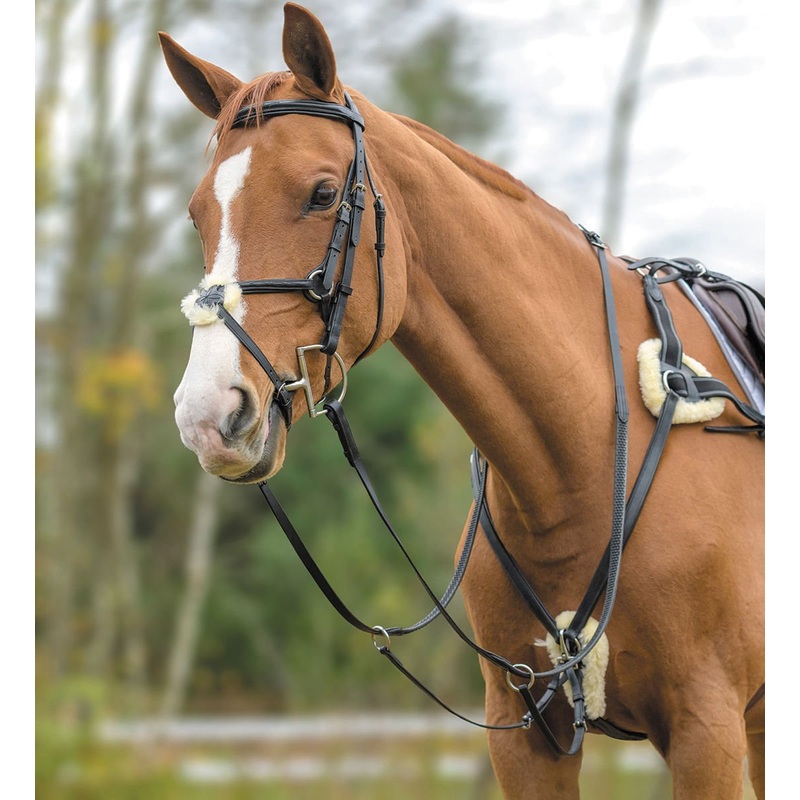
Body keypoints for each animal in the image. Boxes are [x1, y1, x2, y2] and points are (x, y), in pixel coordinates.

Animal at [159, 4, 765, 798]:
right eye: (199, 214)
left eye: (322, 194)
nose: (209, 415)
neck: (584, 463)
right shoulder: (529, 738)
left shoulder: (706, 730)